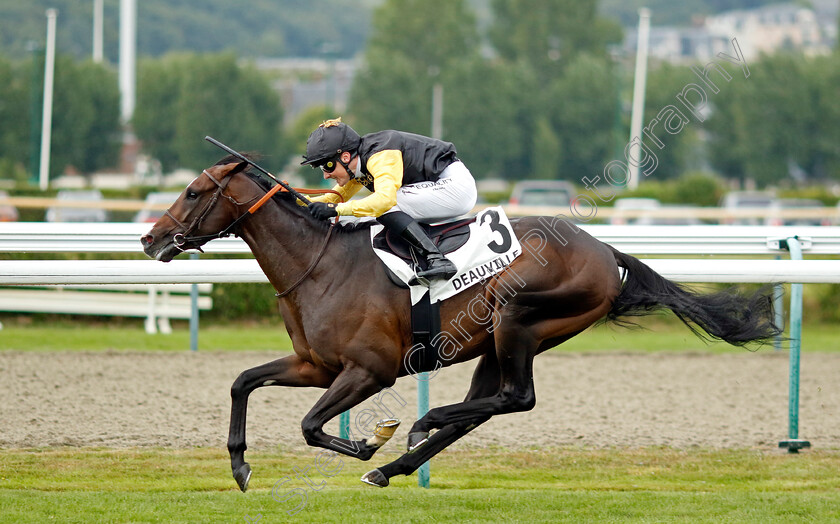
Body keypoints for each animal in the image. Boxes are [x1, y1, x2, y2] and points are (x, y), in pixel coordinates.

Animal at [141, 158, 776, 490]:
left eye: (194, 191)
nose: (150, 239)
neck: (318, 263)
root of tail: (605, 251)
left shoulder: (370, 371)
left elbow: (311, 425)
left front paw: (371, 439)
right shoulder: (316, 365)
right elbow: (243, 382)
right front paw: (240, 464)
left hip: (519, 317)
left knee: (516, 398)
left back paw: (417, 428)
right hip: (497, 341)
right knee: (485, 408)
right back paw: (398, 464)